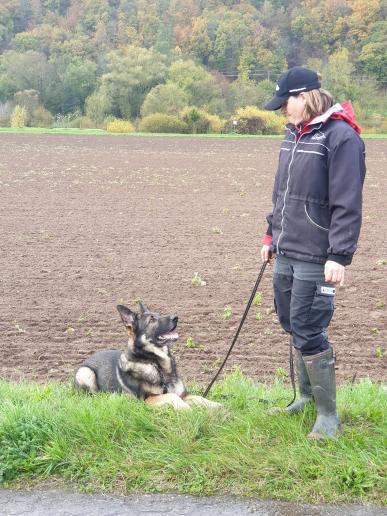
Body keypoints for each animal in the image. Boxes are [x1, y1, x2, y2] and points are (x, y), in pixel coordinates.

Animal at [74, 304, 221, 410]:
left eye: (159, 314)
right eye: (152, 320)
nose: (176, 317)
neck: (156, 364)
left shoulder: (183, 394)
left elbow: (199, 398)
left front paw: (216, 406)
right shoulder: (148, 399)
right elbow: (172, 396)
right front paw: (186, 408)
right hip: (85, 373)